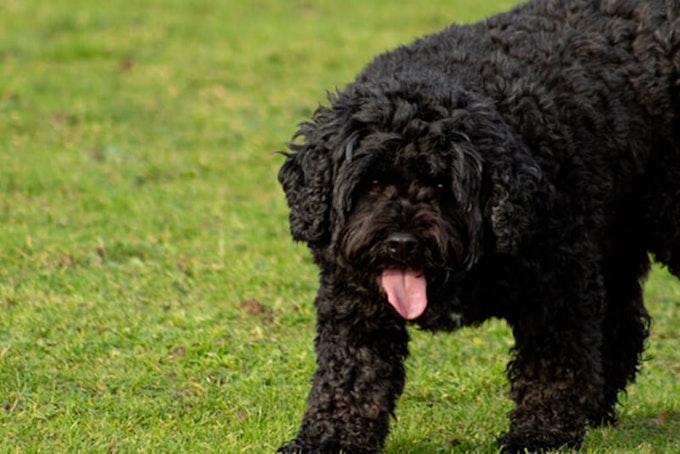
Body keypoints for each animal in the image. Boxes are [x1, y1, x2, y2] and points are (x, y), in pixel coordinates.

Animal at [276, 0, 680, 450]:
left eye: (441, 183)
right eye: (373, 181)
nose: (403, 243)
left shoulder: (560, 286)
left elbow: (555, 366)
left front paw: (540, 434)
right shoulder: (355, 302)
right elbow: (350, 375)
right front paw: (328, 439)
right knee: (621, 326)